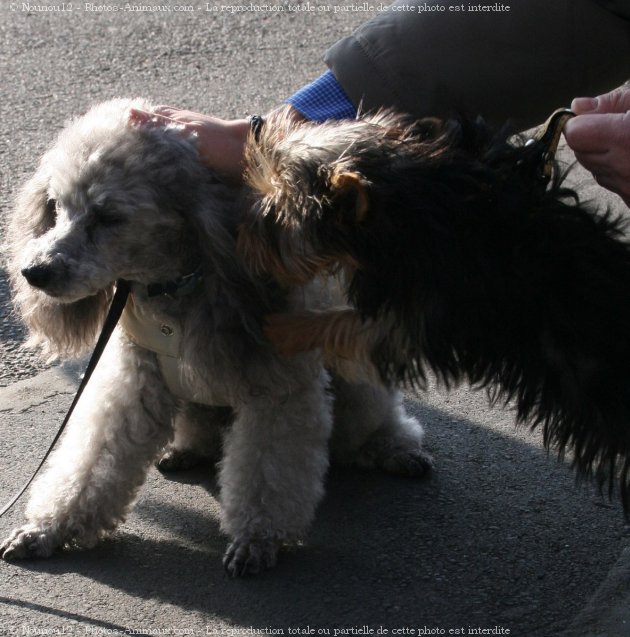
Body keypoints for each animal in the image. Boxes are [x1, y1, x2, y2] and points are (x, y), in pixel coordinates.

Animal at [238, 107, 630, 510]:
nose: (242, 234)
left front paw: (279, 328)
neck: (415, 198)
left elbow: (343, 324)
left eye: (274, 217)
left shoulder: (422, 312)